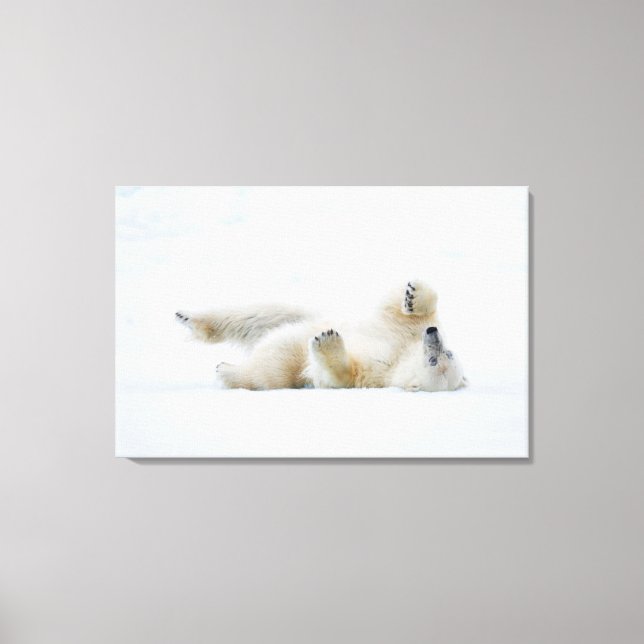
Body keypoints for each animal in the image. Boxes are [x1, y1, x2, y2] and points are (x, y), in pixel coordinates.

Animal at [175, 280, 466, 392]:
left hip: (284, 363)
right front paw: (413, 296)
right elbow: (400, 313)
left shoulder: (373, 374)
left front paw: (327, 341)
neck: (399, 358)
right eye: (448, 353)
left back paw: (226, 369)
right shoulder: (401, 333)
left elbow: (338, 375)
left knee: (269, 370)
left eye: (436, 361)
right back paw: (188, 318)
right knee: (259, 315)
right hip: (298, 315)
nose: (433, 336)